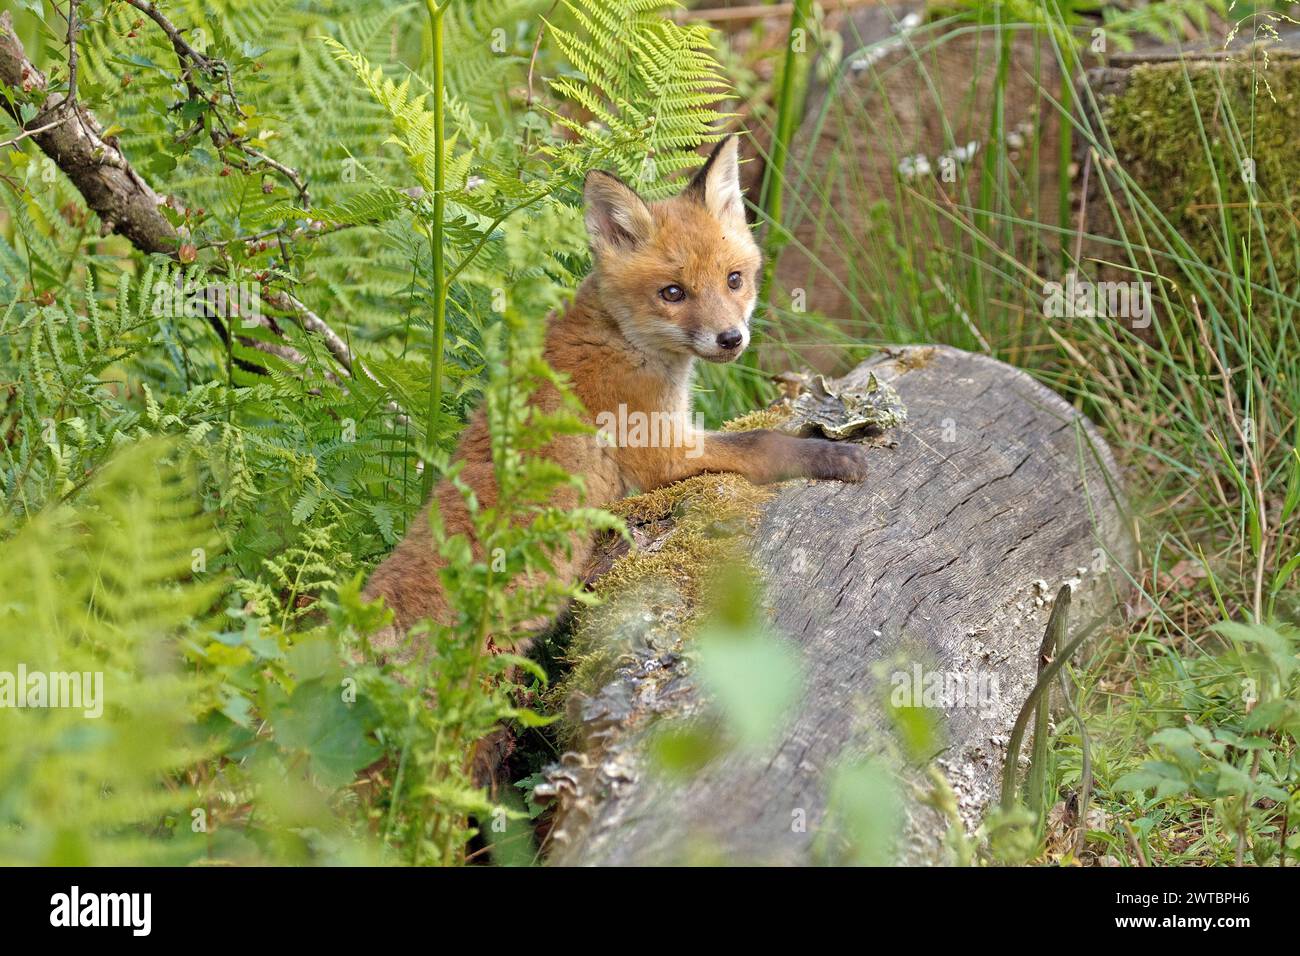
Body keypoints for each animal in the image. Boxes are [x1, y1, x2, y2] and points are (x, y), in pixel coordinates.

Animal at [364, 134, 873, 655]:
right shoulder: (661, 452)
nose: (731, 339)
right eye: (673, 293)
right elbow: (760, 442)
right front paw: (828, 453)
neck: (623, 338)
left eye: (734, 279)